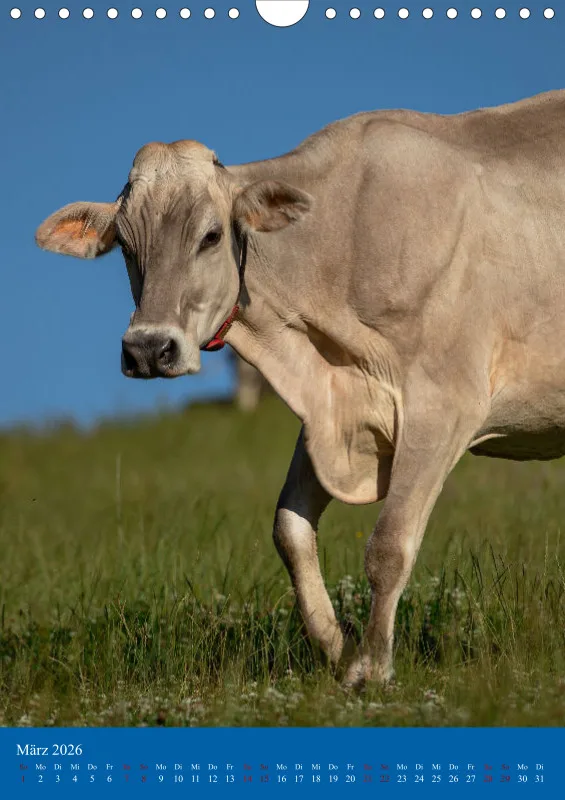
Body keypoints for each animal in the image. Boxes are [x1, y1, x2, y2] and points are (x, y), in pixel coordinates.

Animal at [35, 89, 565, 687]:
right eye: (125, 245)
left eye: (211, 236)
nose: (149, 348)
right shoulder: (331, 410)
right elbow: (289, 529)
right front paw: (336, 647)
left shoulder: (443, 404)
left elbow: (389, 544)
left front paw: (372, 669)